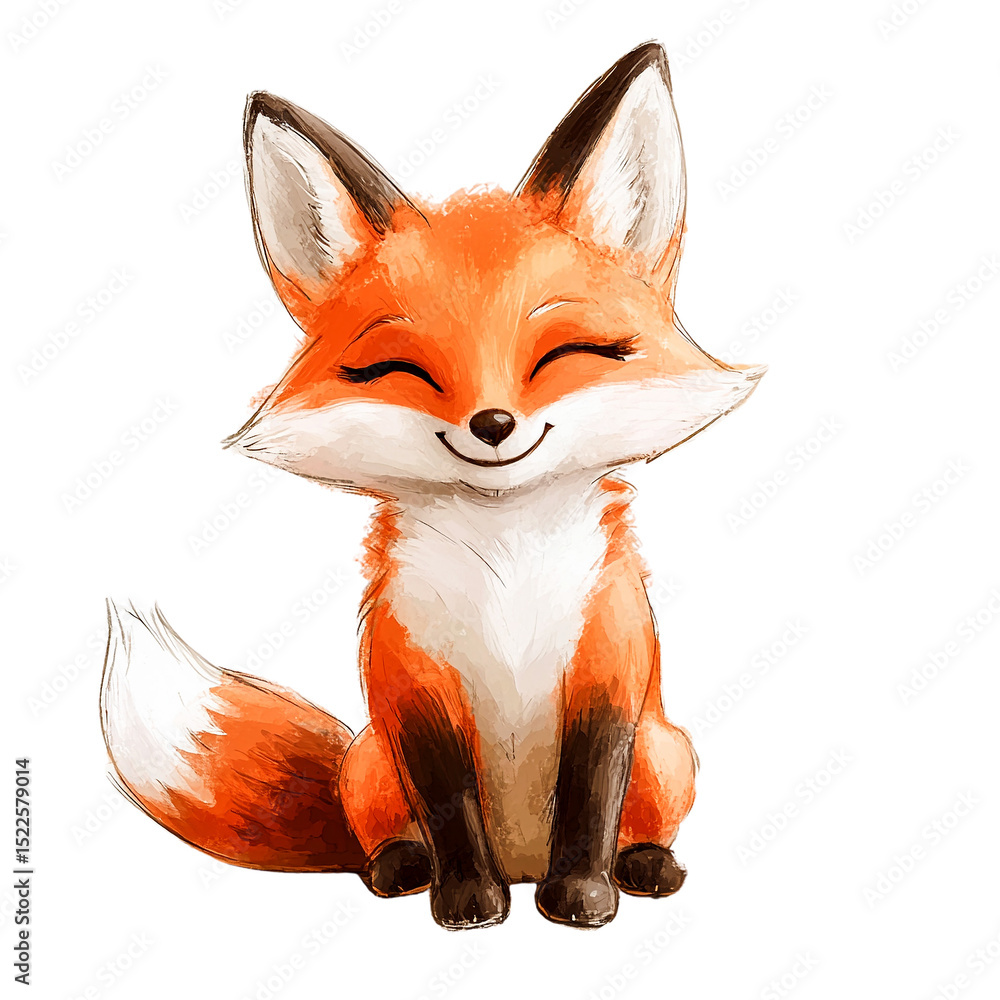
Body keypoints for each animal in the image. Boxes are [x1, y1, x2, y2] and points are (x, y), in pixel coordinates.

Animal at [100, 42, 764, 929]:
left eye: (564, 354)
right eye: (400, 369)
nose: (493, 424)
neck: (505, 570)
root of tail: (523, 857)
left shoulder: (609, 669)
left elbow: (591, 794)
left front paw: (583, 899)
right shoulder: (411, 689)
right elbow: (449, 803)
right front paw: (469, 902)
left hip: (668, 755)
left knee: (639, 816)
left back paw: (647, 865)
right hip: (367, 766)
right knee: (380, 835)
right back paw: (400, 868)